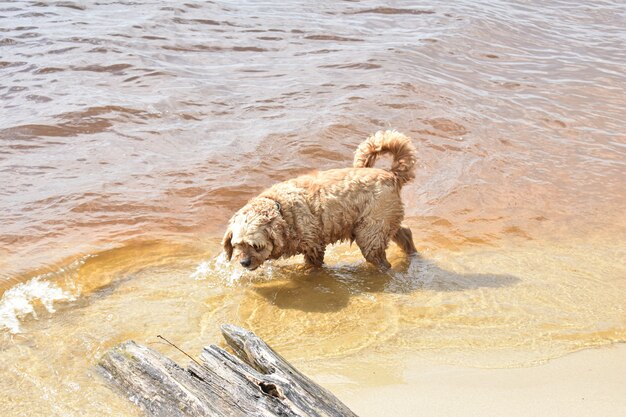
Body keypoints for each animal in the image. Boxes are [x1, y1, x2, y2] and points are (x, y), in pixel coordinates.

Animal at [222, 128, 416, 270]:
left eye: (257, 246)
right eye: (238, 244)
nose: (244, 263)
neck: (282, 210)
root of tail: (391, 175)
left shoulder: (313, 245)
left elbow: (313, 264)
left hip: (371, 231)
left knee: (379, 255)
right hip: (383, 221)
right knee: (405, 232)